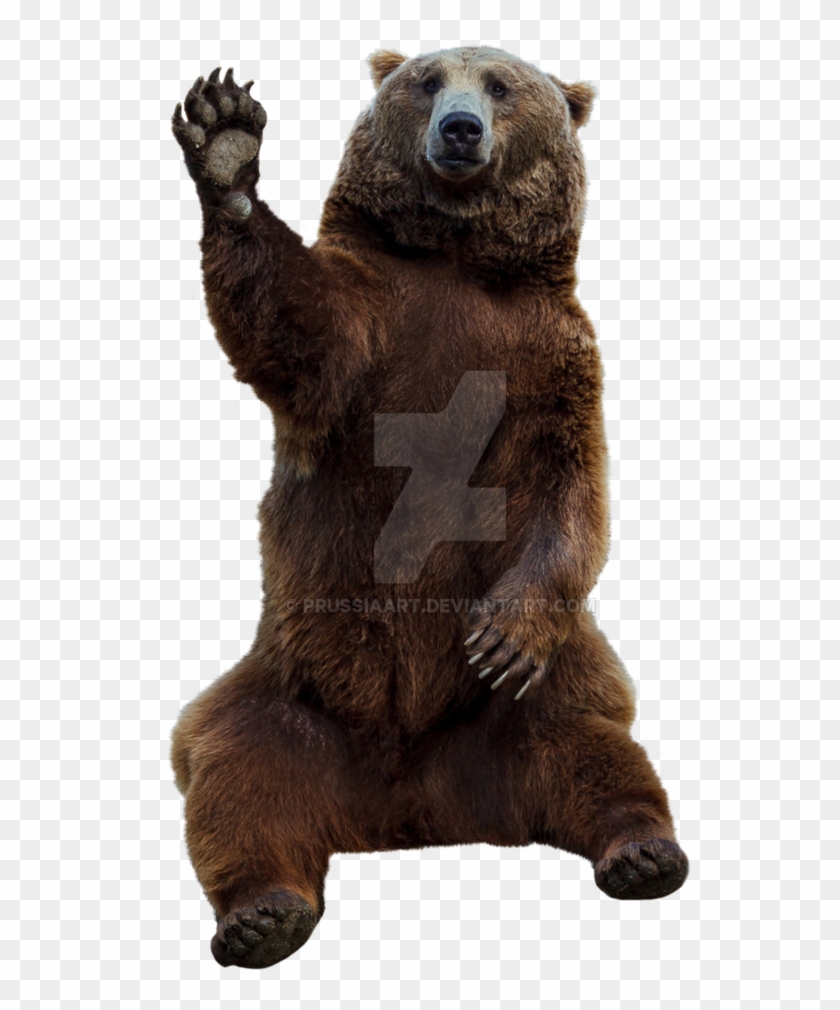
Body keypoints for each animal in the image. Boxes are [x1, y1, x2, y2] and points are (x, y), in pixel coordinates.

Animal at [170, 47, 689, 970]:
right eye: (427, 79)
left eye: (502, 86)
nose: (459, 129)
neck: (459, 260)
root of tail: (411, 811)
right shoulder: (377, 322)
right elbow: (298, 332)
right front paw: (226, 140)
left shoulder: (552, 353)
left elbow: (572, 486)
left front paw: (505, 634)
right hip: (290, 694)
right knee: (239, 773)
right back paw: (263, 916)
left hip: (522, 708)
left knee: (592, 746)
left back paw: (642, 852)